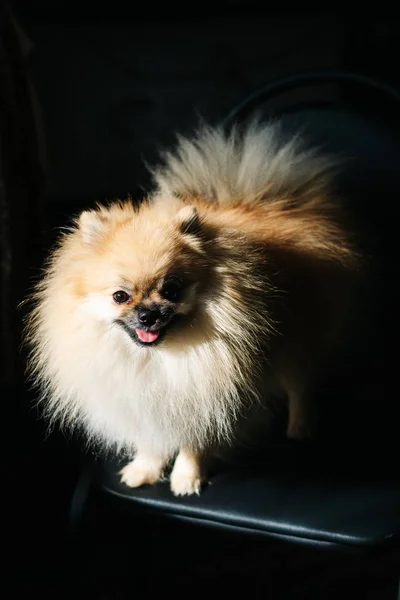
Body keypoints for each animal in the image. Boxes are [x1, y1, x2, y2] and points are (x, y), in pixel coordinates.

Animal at [25, 119, 360, 494]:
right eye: (120, 296)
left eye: (171, 290)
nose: (148, 314)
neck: (156, 358)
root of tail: (272, 201)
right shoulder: (147, 401)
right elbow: (152, 438)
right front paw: (146, 469)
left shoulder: (206, 396)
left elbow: (194, 442)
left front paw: (187, 477)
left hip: (302, 335)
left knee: (301, 382)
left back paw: (300, 426)